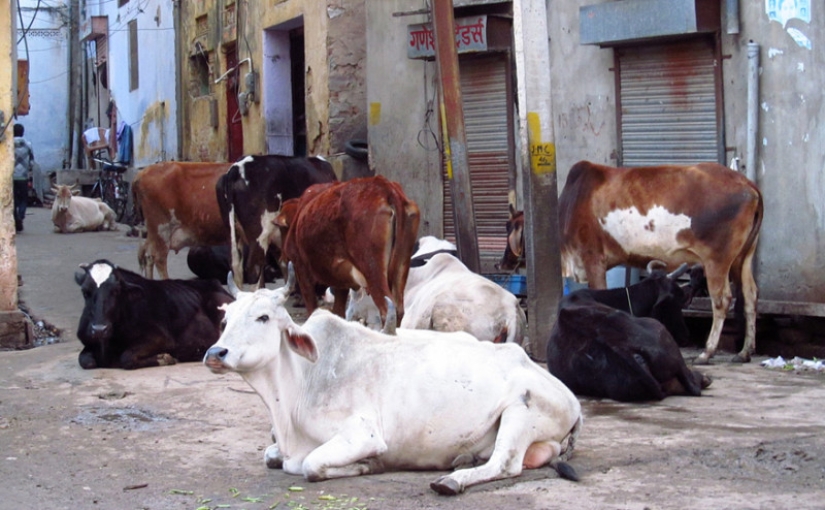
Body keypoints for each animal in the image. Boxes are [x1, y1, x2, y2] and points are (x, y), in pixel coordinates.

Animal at [73, 260, 232, 368]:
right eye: (85, 291)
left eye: (116, 291)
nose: (99, 329)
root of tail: (215, 283)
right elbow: (85, 361)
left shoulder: (160, 338)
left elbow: (127, 358)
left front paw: (164, 358)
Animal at [204, 266, 584, 494]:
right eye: (226, 319)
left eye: (263, 317)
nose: (216, 353)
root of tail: (572, 400)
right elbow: (271, 456)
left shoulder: (363, 434)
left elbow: (311, 465)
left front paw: (366, 465)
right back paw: (465, 459)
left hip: (521, 411)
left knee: (505, 464)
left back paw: (452, 480)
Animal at [276, 175, 418, 326]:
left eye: (281, 229)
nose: (282, 257)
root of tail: (384, 186)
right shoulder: (340, 282)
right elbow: (338, 312)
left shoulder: (301, 268)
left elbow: (312, 309)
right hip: (401, 268)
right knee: (399, 310)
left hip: (373, 269)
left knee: (387, 310)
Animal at [498, 161, 764, 364]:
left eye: (509, 228)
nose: (502, 263)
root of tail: (748, 184)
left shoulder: (593, 259)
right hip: (742, 257)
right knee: (750, 295)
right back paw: (745, 351)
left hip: (717, 260)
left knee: (722, 300)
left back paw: (707, 352)